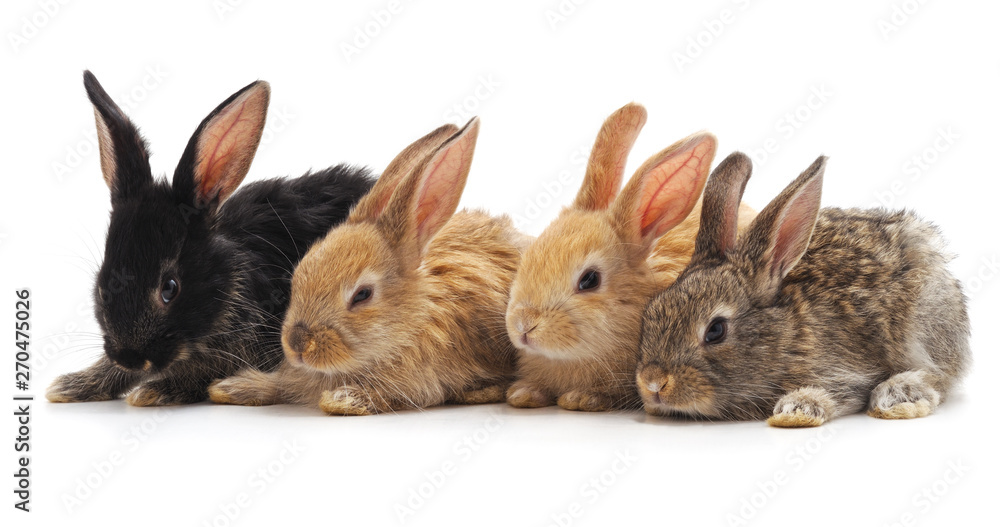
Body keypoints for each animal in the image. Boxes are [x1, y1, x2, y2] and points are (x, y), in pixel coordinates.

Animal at [208, 117, 529, 415]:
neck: (415, 319)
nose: (298, 343)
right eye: (298, 277)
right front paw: (230, 388)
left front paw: (341, 398)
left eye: (362, 295)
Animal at [635, 152, 971, 427]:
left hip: (921, 324)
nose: (653, 383)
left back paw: (899, 395)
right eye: (651, 312)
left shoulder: (849, 372)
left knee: (939, 375)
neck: (787, 333)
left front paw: (796, 411)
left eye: (715, 330)